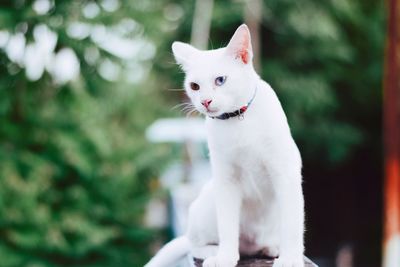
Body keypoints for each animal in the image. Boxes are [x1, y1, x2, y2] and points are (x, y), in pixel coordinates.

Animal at [145, 24, 304, 266]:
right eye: (194, 86)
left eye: (220, 80)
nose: (205, 101)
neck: (238, 119)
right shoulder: (226, 179)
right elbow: (228, 226)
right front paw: (226, 257)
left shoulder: (285, 173)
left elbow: (293, 226)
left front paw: (290, 258)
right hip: (207, 203)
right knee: (195, 244)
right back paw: (216, 252)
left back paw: (271, 248)